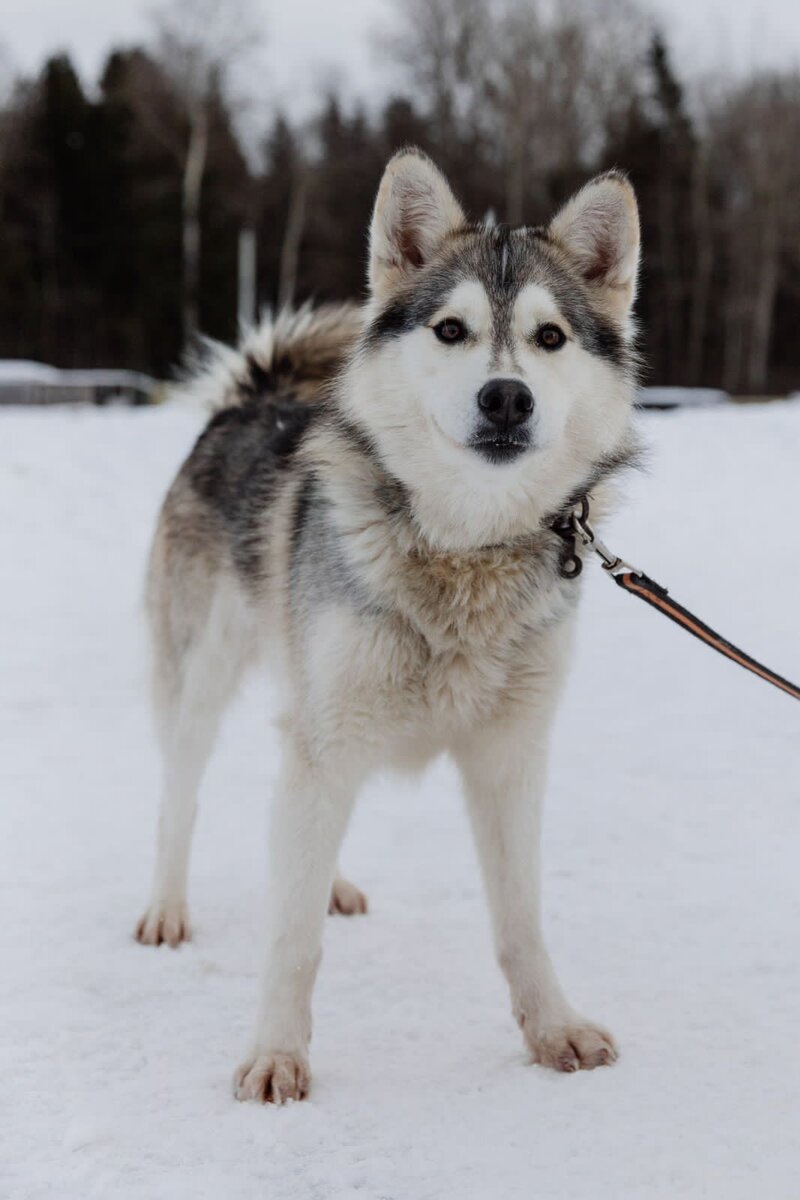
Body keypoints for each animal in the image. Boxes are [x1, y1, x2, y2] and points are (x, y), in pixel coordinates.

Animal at [136, 145, 638, 1099]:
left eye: (551, 338)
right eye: (450, 330)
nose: (507, 399)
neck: (464, 548)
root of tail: (249, 398)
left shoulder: (510, 756)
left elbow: (521, 920)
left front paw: (550, 1029)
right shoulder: (329, 734)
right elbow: (290, 939)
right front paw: (276, 1054)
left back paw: (329, 881)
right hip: (204, 682)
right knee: (179, 795)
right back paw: (166, 908)